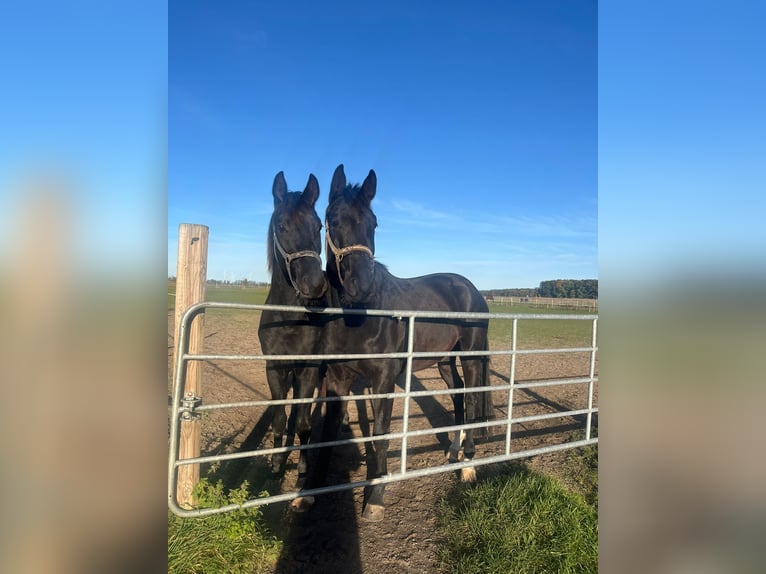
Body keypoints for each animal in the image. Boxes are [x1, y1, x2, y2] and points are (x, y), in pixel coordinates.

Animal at [308, 165, 496, 520]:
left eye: (374, 222)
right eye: (333, 220)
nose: (362, 287)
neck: (360, 318)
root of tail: (470, 288)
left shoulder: (383, 379)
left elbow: (381, 435)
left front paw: (375, 499)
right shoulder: (339, 378)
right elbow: (327, 435)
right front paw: (309, 494)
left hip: (471, 354)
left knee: (473, 398)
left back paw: (468, 465)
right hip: (445, 360)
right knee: (459, 396)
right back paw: (453, 452)